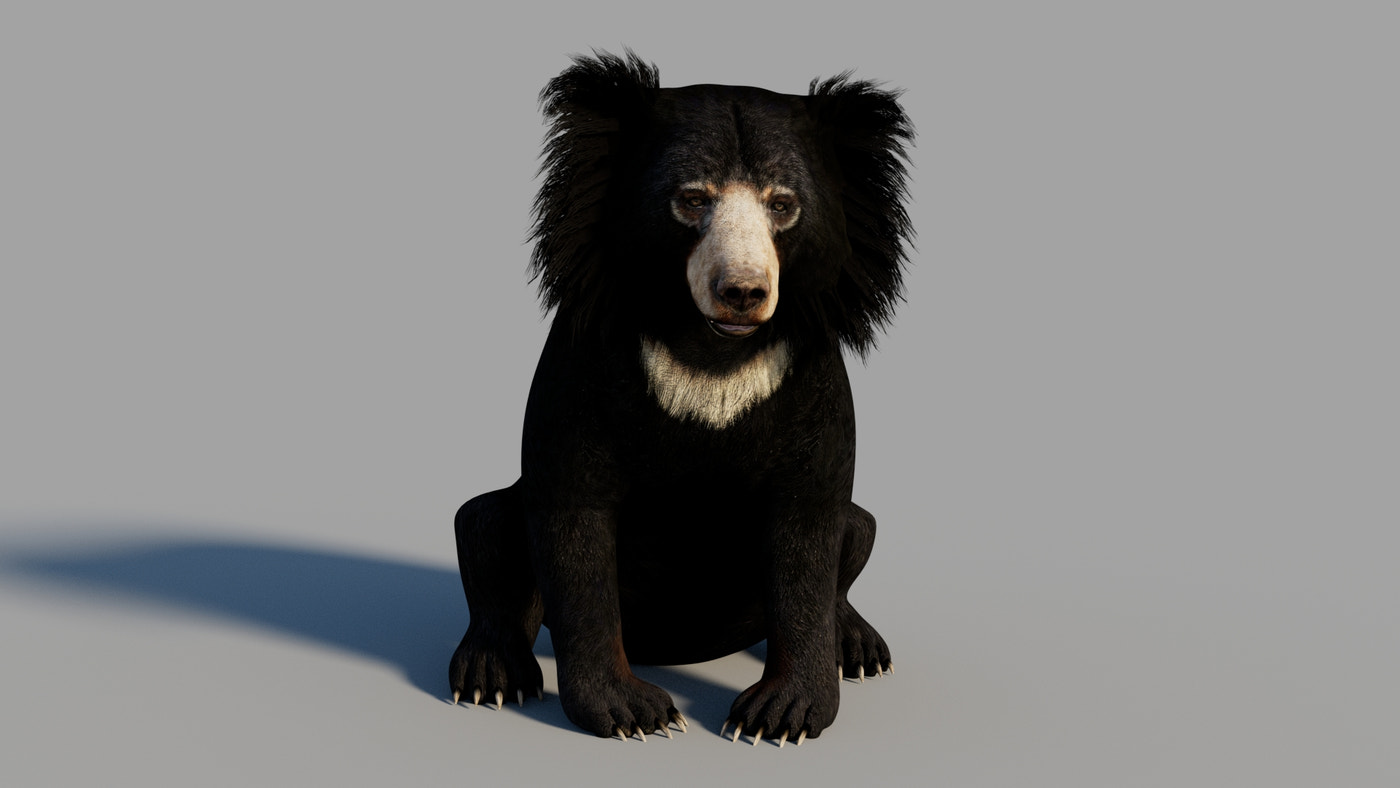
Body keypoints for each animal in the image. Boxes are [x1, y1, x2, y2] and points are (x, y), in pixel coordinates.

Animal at [448, 51, 913, 746]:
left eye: (783, 205)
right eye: (692, 200)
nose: (742, 292)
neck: (710, 351)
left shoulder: (811, 382)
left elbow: (809, 529)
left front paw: (777, 718)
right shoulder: (583, 369)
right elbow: (574, 523)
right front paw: (635, 715)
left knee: (856, 530)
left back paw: (859, 650)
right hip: (503, 527)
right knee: (483, 524)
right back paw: (489, 675)